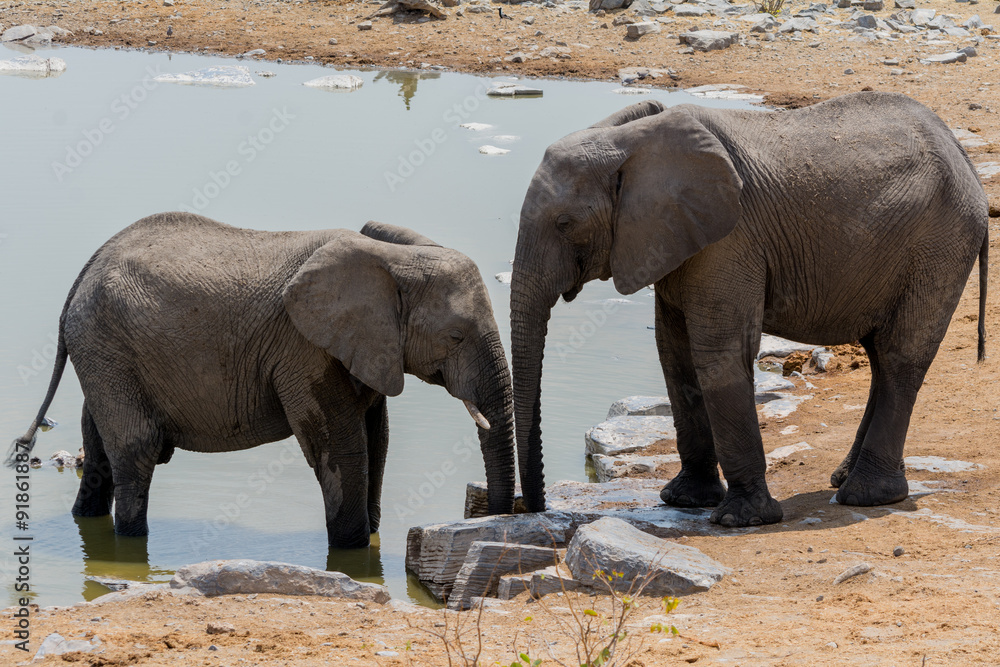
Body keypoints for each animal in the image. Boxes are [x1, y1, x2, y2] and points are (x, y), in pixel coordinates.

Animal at [10, 212, 515, 548]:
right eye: (455, 336)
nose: (495, 520)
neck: (395, 260)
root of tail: (83, 274)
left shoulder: (367, 348)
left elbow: (379, 439)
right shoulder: (303, 349)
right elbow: (341, 447)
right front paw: (352, 553)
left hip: (103, 354)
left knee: (97, 445)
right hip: (106, 345)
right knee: (137, 448)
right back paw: (131, 544)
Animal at [510, 92, 988, 527]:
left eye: (565, 224)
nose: (528, 507)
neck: (631, 141)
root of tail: (962, 154)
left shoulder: (730, 239)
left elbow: (718, 355)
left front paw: (740, 519)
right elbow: (674, 354)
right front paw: (683, 500)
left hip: (940, 244)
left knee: (899, 356)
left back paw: (866, 496)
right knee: (879, 357)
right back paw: (845, 479)